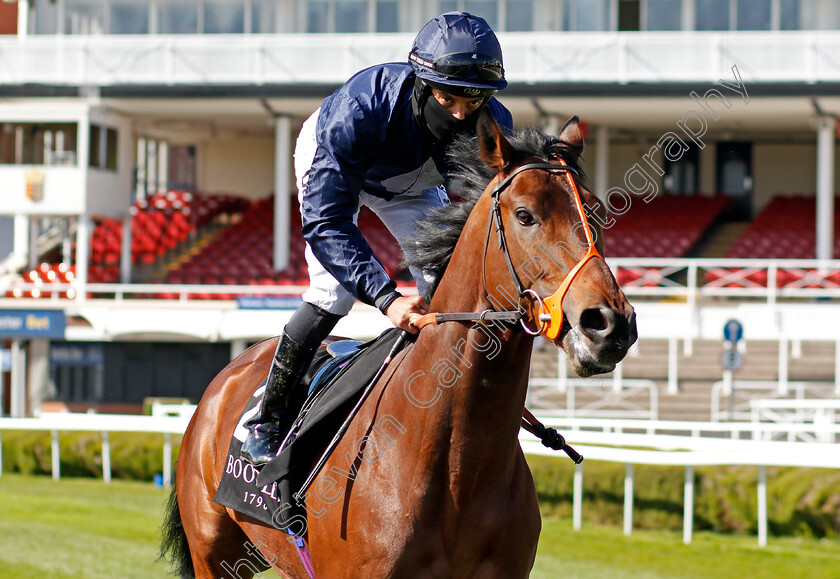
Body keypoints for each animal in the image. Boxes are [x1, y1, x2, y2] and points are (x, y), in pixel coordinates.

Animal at [161, 110, 636, 579]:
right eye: (524, 215)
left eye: (594, 210)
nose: (610, 324)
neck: (459, 469)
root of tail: (230, 371)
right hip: (213, 555)